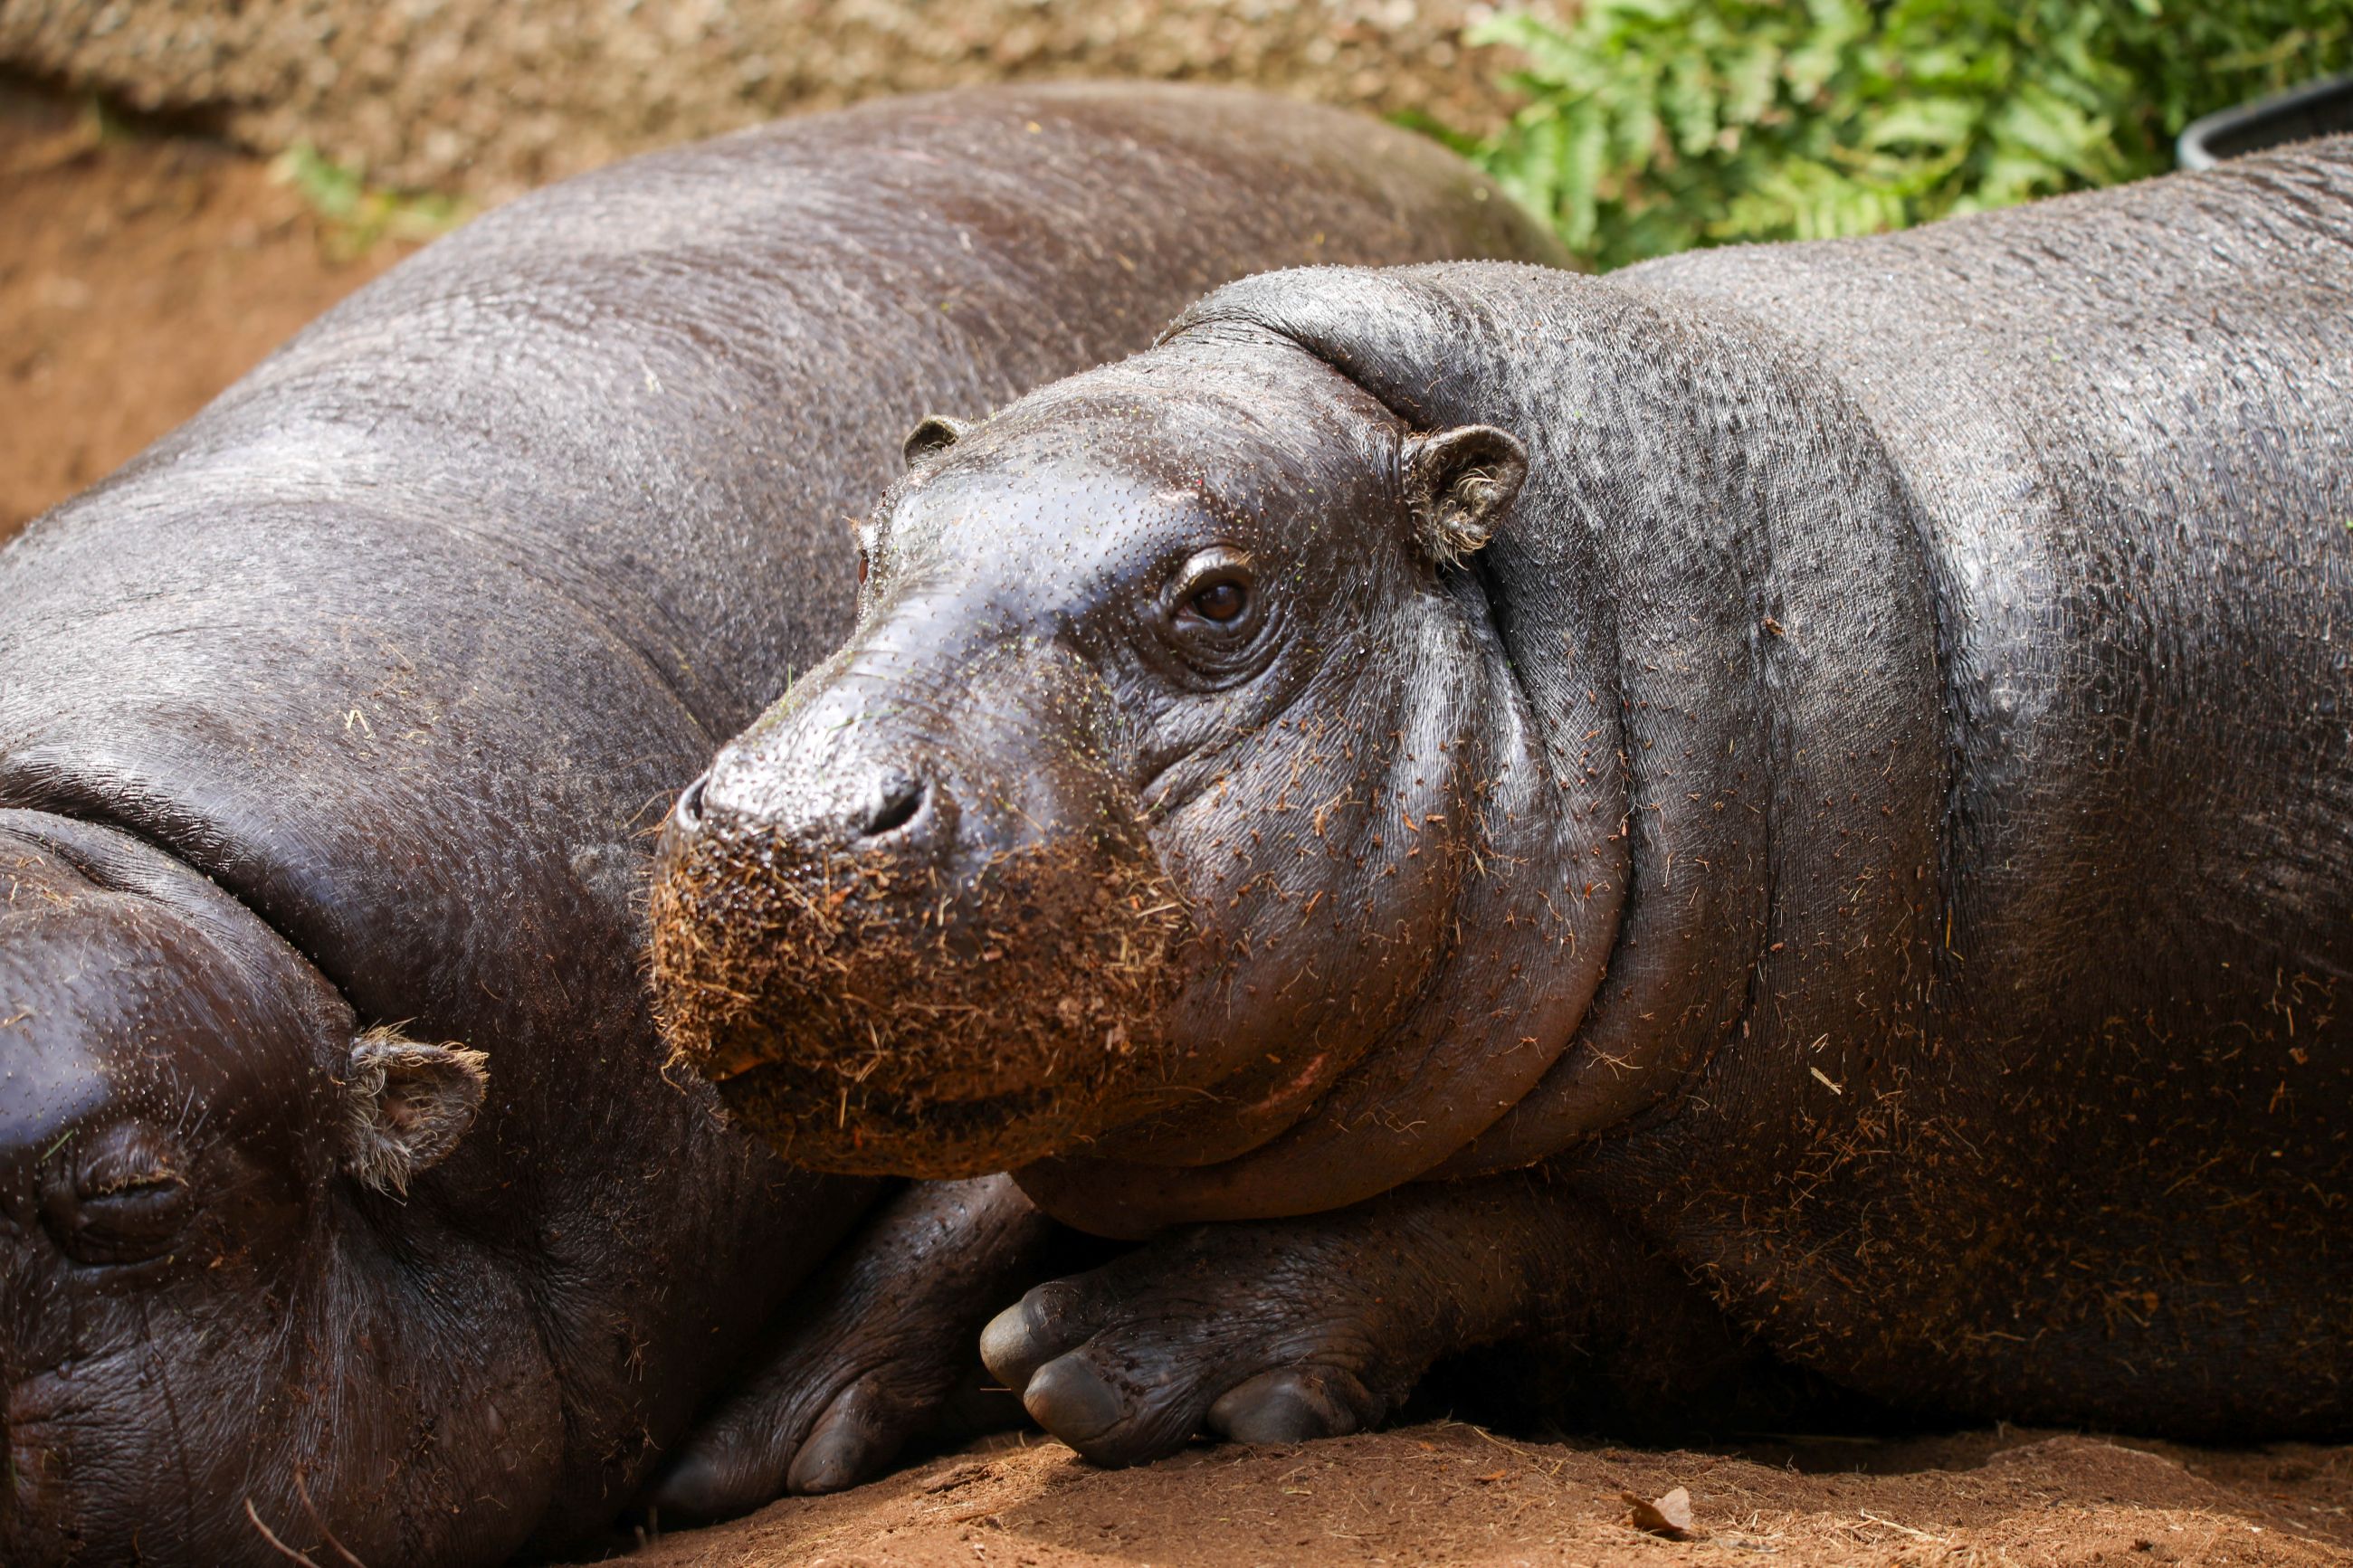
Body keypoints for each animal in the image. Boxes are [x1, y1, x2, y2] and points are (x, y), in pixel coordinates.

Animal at [653, 136, 2353, 1464]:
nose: (788, 816)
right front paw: (740, 1442)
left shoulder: (1835, 1263)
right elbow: (961, 1202)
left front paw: (1095, 1359)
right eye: (868, 540)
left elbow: (1504, 1232)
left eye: (1219, 599)